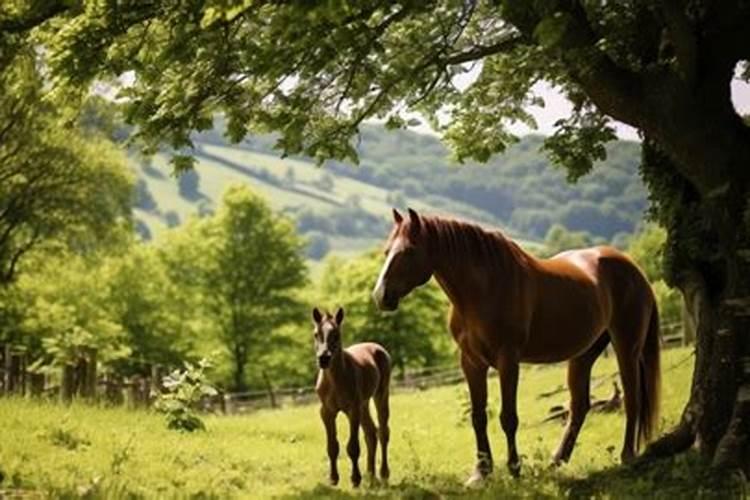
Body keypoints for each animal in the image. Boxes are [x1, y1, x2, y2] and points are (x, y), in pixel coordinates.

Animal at [312, 306, 394, 486]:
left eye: (336, 334)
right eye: (316, 334)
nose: (323, 358)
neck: (335, 381)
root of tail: (376, 347)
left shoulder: (352, 410)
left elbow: (353, 447)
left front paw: (355, 479)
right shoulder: (326, 412)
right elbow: (332, 446)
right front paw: (333, 478)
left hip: (380, 395)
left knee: (383, 432)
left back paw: (383, 473)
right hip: (364, 404)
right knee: (371, 433)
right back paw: (370, 475)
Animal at [374, 208, 660, 484]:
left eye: (409, 251)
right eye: (387, 251)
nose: (380, 296)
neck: (483, 289)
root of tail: (634, 268)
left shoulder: (508, 360)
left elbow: (508, 418)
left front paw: (514, 469)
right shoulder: (471, 363)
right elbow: (478, 417)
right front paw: (481, 472)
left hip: (626, 346)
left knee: (632, 398)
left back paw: (627, 455)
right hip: (583, 354)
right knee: (579, 407)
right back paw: (556, 461)